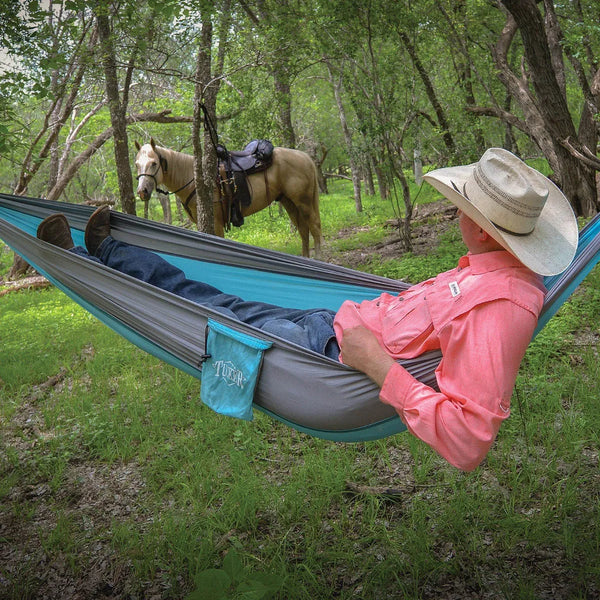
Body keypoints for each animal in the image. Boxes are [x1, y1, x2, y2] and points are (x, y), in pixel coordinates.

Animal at [135, 139, 324, 256]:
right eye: (136, 164)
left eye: (154, 163)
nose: (142, 191)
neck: (196, 178)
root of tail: (304, 156)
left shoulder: (217, 222)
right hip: (288, 201)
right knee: (303, 230)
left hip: (304, 202)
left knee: (314, 227)